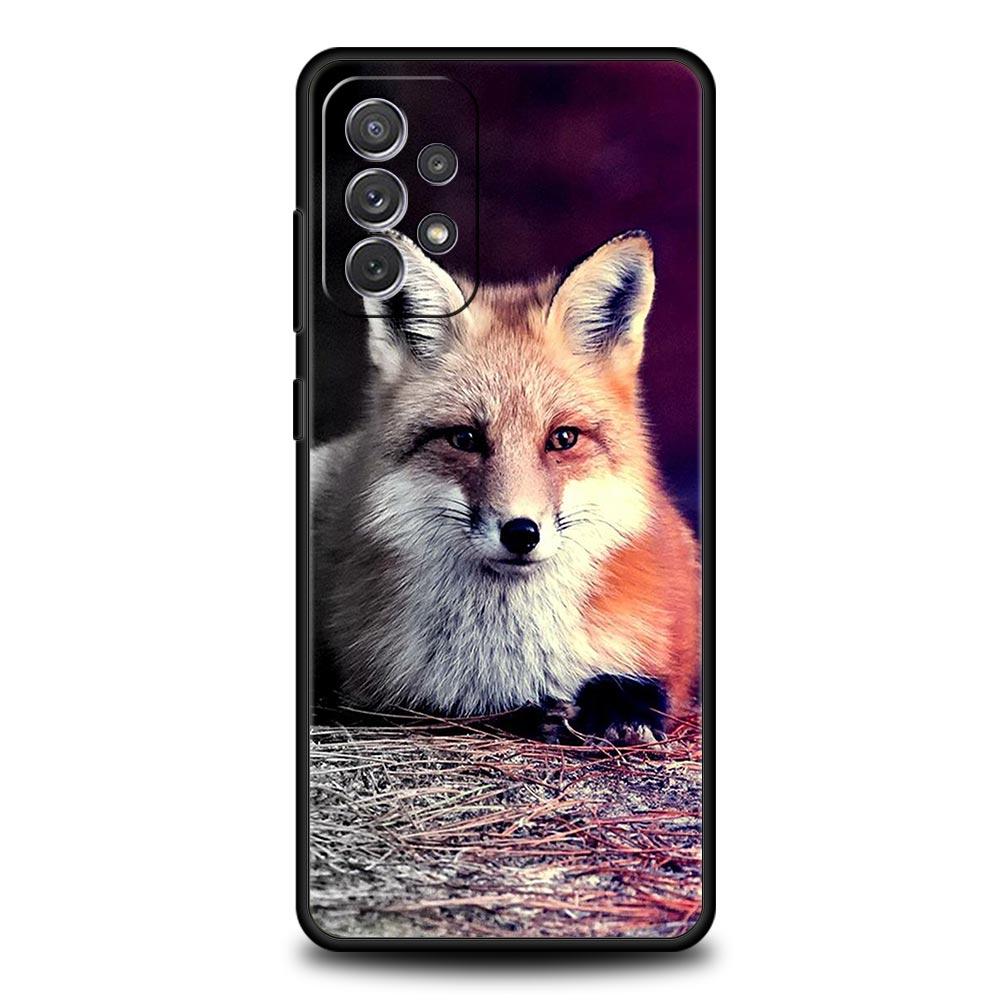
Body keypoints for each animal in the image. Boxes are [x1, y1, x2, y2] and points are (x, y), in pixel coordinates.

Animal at [311, 230, 700, 744]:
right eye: (465, 439)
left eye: (563, 438)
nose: (521, 533)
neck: (509, 655)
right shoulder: (378, 693)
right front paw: (538, 713)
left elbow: (648, 685)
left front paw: (618, 711)